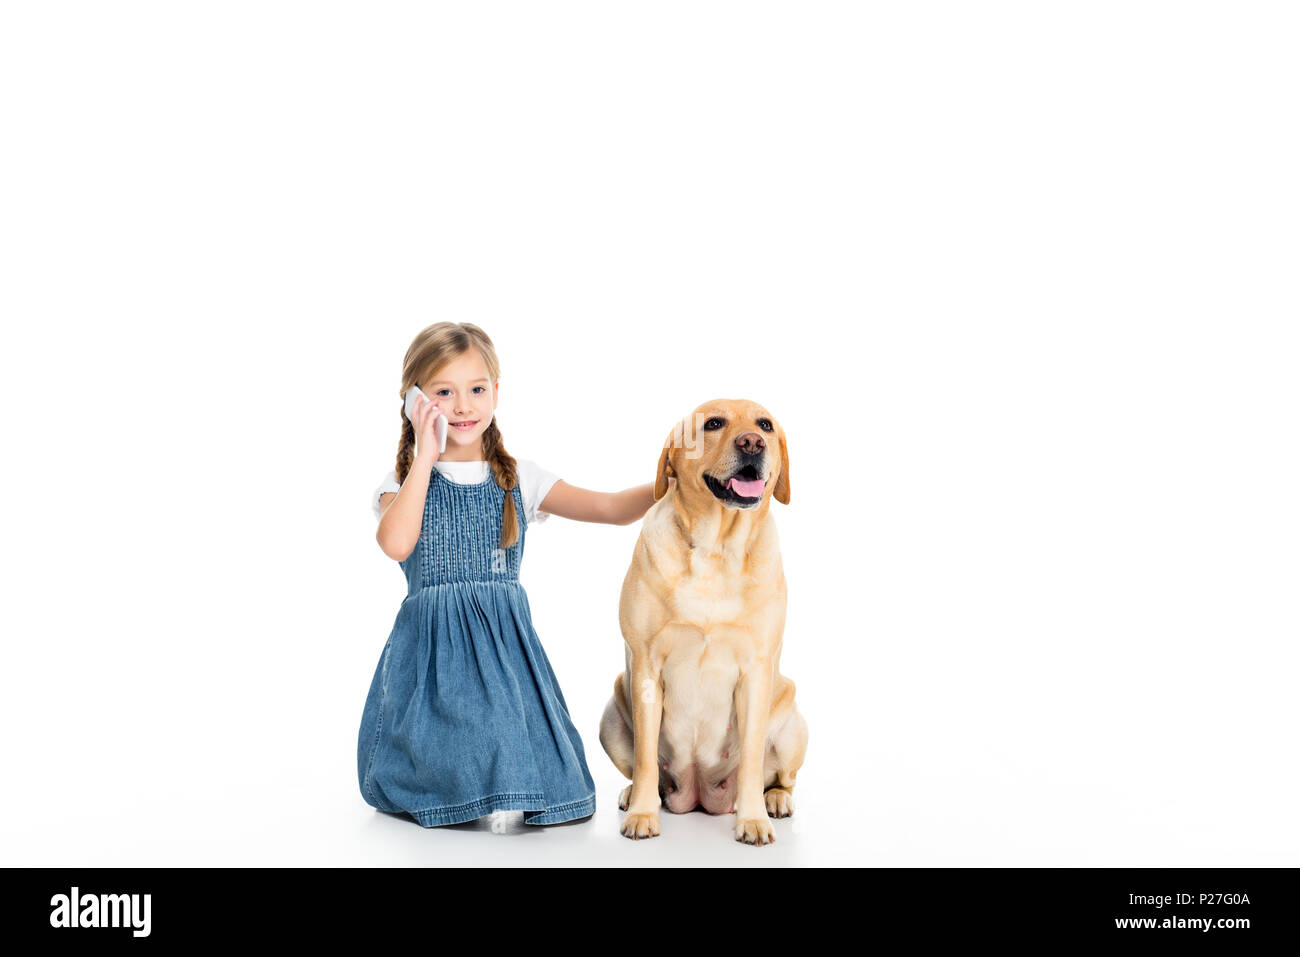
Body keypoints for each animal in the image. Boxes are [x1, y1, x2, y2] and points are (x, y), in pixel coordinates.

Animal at [603, 397, 806, 842]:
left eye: (765, 425)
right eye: (713, 424)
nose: (752, 443)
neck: (717, 549)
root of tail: (698, 794)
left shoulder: (756, 671)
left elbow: (751, 761)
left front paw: (752, 820)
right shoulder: (645, 666)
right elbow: (646, 758)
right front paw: (642, 814)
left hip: (793, 726)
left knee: (781, 777)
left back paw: (775, 800)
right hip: (610, 717)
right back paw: (631, 795)